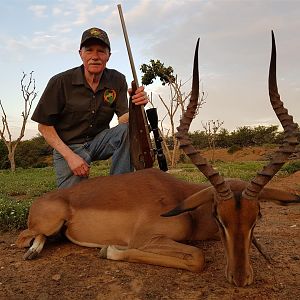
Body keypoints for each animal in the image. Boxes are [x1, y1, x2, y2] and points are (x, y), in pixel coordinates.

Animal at [15, 31, 298, 288]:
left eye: (257, 217)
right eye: (219, 217)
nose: (240, 279)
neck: (182, 201)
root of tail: (44, 199)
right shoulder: (146, 239)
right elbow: (198, 257)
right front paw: (109, 250)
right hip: (49, 224)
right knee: (23, 238)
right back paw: (33, 252)